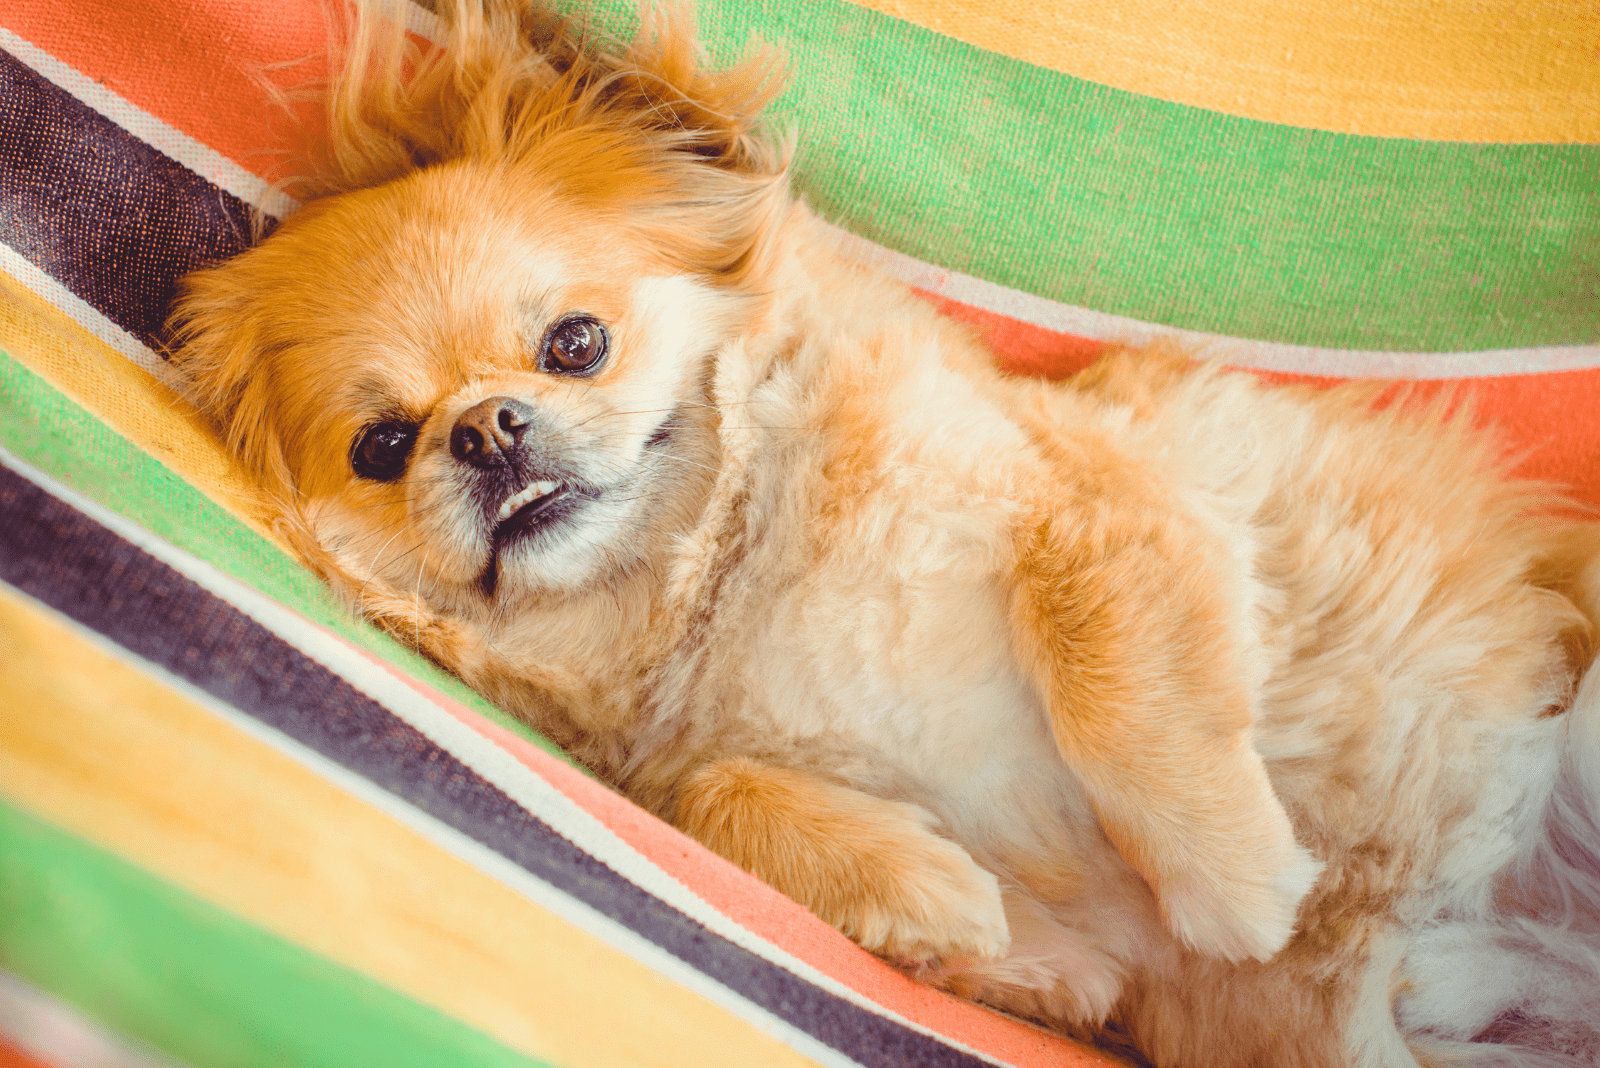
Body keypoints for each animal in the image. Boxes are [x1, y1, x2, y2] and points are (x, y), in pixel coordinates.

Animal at [165, 4, 1600, 1061]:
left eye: (575, 344)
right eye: (381, 448)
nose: (487, 430)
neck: (729, 575)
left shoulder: (1099, 504)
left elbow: (1120, 699)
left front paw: (1240, 887)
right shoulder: (1091, 955)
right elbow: (720, 791)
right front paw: (939, 895)